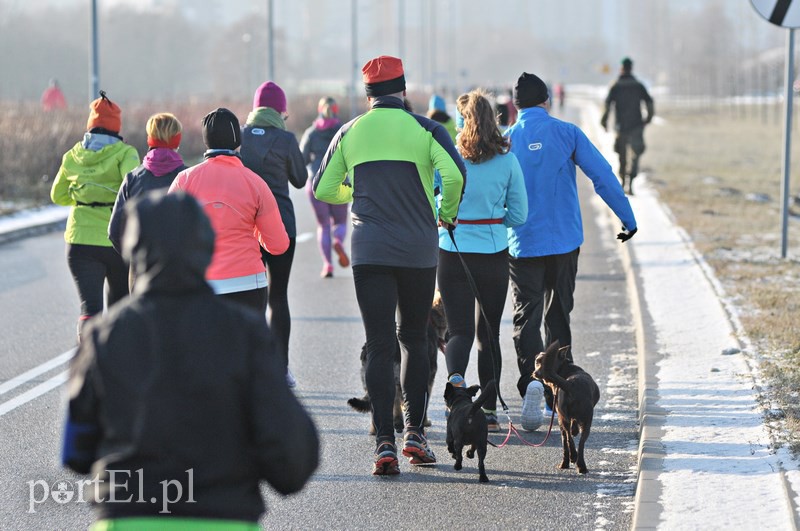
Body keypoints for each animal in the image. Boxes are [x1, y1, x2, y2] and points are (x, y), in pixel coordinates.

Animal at [536, 342, 596, 476]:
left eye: (542, 362)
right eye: (537, 362)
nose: (536, 373)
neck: (564, 369)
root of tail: (570, 384)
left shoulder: (560, 417)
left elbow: (565, 442)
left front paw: (564, 464)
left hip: (563, 417)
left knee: (568, 438)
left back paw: (574, 457)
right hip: (585, 421)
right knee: (580, 443)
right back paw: (581, 466)